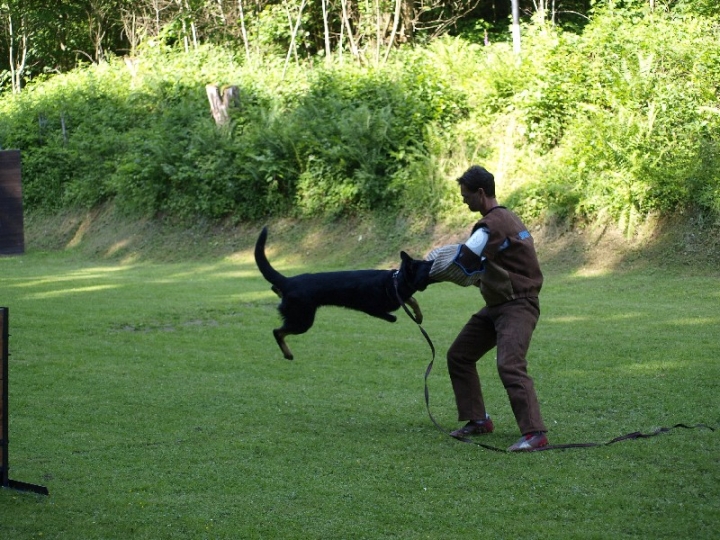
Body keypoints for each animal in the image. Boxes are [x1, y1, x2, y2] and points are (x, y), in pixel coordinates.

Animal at [255, 226, 434, 360]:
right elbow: (394, 315)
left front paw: (419, 316)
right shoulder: (372, 308)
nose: (434, 259)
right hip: (302, 320)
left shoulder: (401, 296)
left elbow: (413, 300)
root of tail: (288, 281)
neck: (396, 281)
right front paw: (398, 317)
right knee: (277, 332)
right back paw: (288, 354)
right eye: (427, 266)